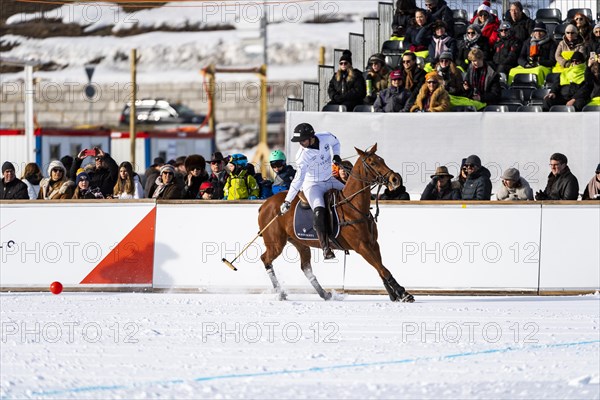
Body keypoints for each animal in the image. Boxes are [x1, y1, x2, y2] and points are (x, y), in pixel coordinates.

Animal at [255, 144, 414, 304]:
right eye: (373, 163)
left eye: (382, 160)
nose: (396, 179)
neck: (353, 206)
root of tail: (265, 205)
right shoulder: (361, 246)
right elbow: (382, 268)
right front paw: (403, 293)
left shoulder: (373, 243)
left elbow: (380, 267)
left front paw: (394, 294)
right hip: (276, 243)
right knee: (265, 259)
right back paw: (281, 293)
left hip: (300, 243)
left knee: (306, 268)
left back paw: (325, 294)